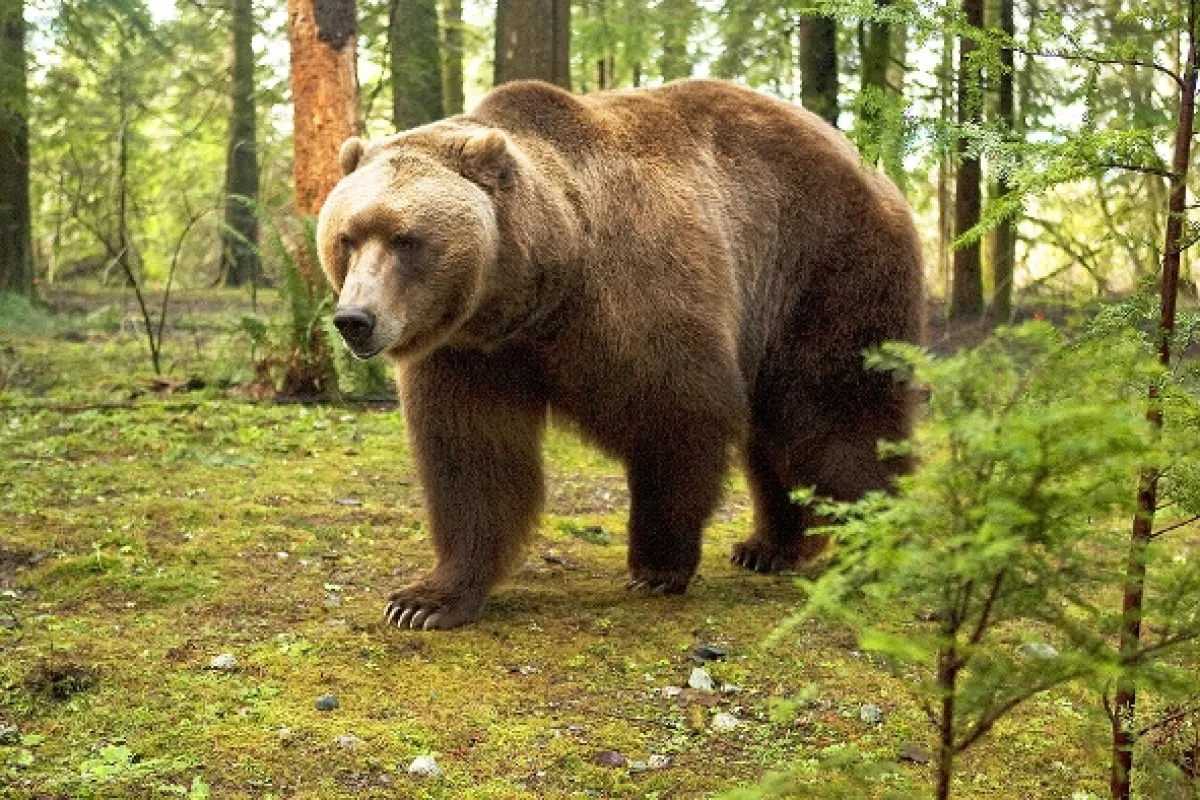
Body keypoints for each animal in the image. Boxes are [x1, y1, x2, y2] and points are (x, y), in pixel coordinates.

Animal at [316, 78, 925, 630]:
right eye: (347, 237)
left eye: (405, 238)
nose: (355, 320)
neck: (534, 291)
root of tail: (868, 164)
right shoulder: (470, 354)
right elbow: (471, 459)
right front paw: (424, 600)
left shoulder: (637, 299)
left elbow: (677, 417)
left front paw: (656, 565)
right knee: (777, 431)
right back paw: (767, 546)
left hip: (822, 269)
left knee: (835, 415)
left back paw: (878, 542)